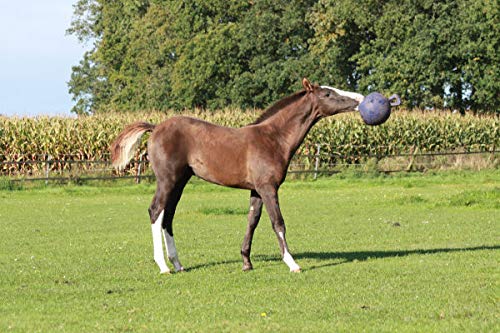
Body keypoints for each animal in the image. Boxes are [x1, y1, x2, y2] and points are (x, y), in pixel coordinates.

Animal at [111, 78, 364, 272]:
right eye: (328, 93)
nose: (360, 99)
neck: (273, 138)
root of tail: (156, 128)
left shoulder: (256, 190)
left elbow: (252, 220)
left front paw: (246, 262)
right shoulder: (268, 188)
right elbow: (278, 222)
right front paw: (292, 263)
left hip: (180, 182)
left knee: (168, 217)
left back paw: (178, 264)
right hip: (167, 180)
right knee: (155, 211)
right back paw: (163, 266)